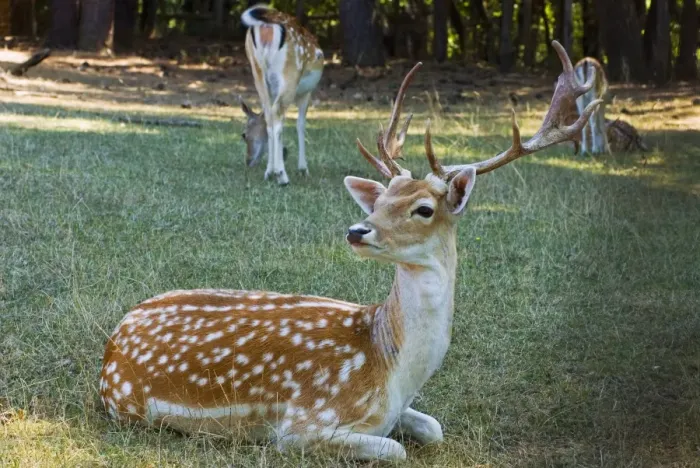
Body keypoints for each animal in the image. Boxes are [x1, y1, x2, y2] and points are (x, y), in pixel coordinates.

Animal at [99, 41, 600, 461]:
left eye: (423, 208)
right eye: (377, 202)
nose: (357, 230)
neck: (394, 371)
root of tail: (110, 349)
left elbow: (434, 428)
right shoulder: (302, 425)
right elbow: (395, 450)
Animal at [239, 4, 324, 185]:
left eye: (243, 135)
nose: (248, 162)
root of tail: (265, 26)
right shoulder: (306, 93)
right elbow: (300, 124)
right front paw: (303, 169)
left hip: (257, 74)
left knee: (270, 115)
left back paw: (270, 172)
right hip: (289, 74)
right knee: (277, 115)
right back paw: (282, 176)